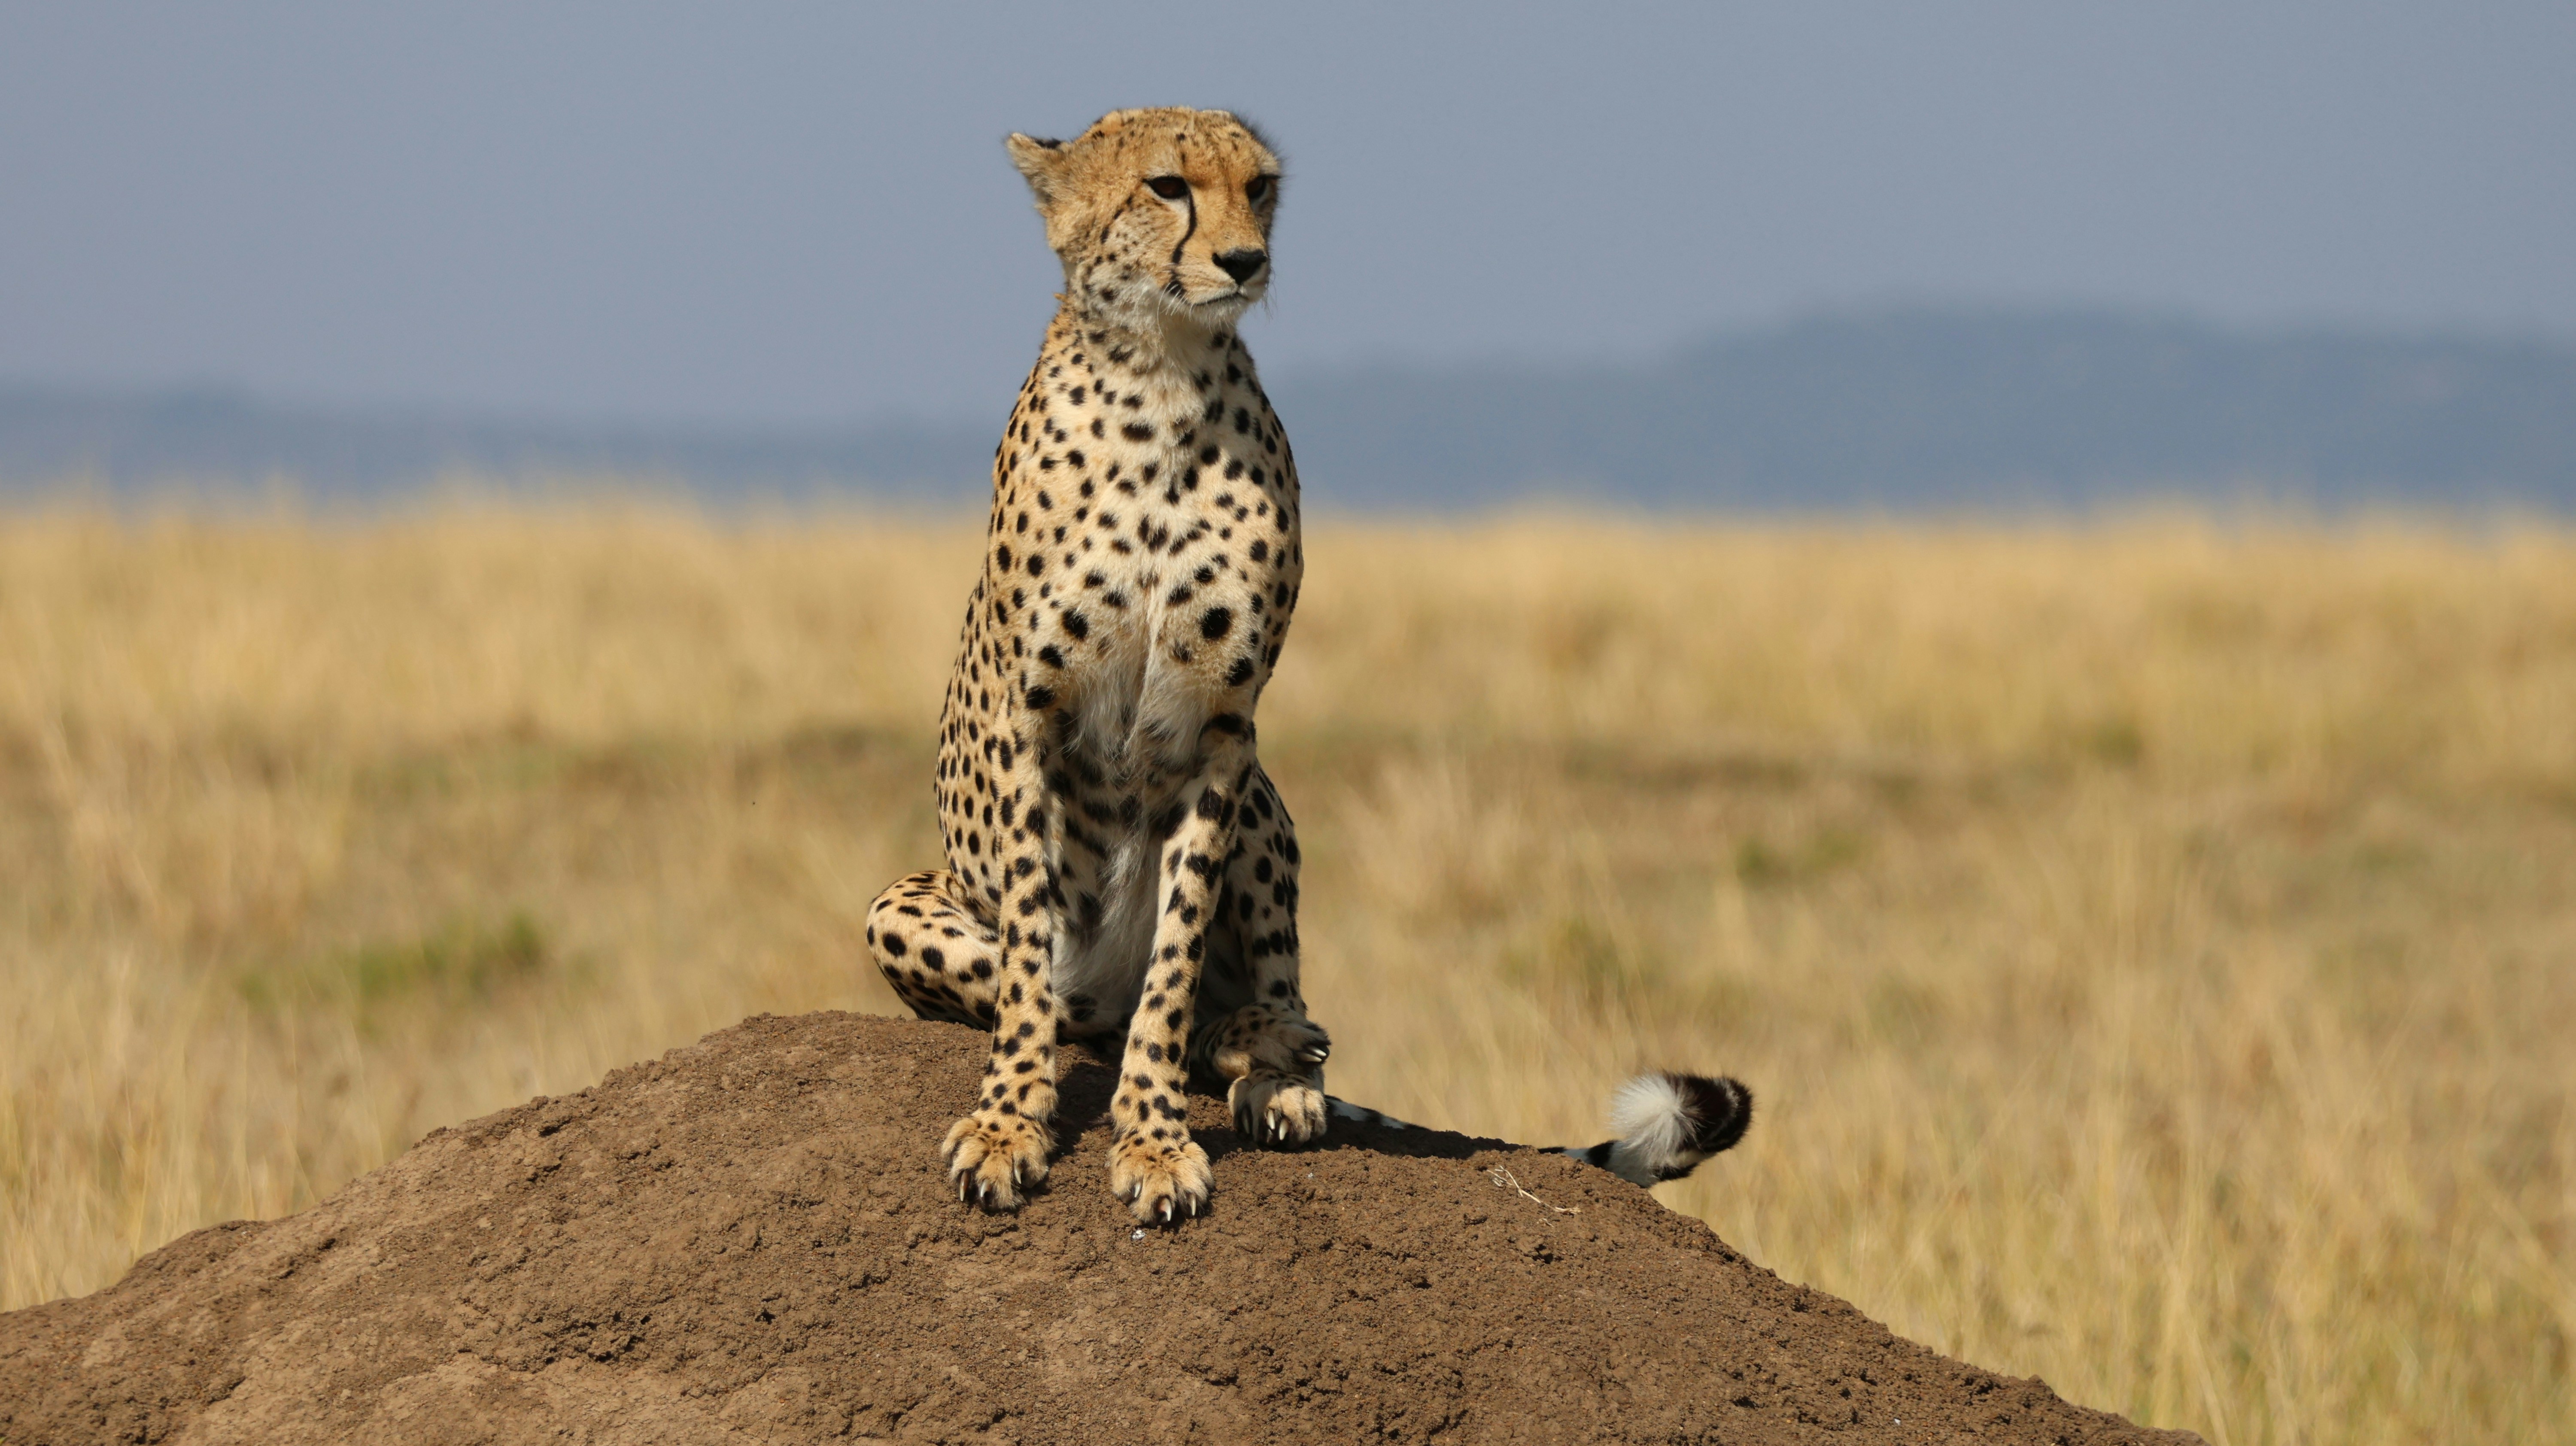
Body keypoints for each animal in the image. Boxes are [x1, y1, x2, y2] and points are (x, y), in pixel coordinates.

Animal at [865, 107, 1752, 1227]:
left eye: (1261, 188)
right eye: (1167, 187)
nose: (1246, 259)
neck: (1158, 379)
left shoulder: (1219, 729)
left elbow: (1174, 963)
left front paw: (1154, 1136)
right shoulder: (1036, 716)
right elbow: (1028, 958)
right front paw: (1009, 1123)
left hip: (1263, 798)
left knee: (1239, 996)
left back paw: (1274, 1060)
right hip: (898, 905)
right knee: (1078, 1007)